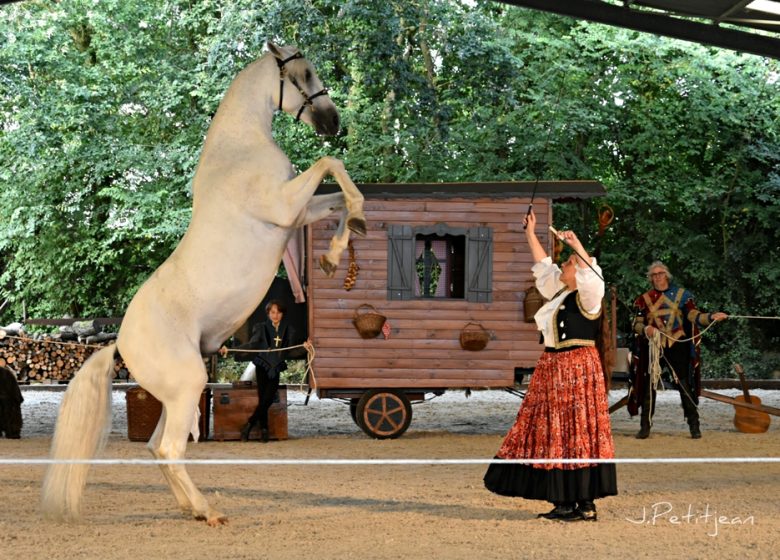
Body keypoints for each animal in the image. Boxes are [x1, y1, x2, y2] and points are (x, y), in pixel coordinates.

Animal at [44, 42, 368, 524]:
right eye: (305, 73)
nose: (333, 121)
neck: (240, 146)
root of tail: (120, 341)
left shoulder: (297, 212)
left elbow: (339, 199)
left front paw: (336, 251)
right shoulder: (284, 205)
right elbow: (333, 164)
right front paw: (346, 232)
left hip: (176, 395)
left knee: (158, 448)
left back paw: (192, 508)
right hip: (187, 386)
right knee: (169, 449)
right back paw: (207, 511)